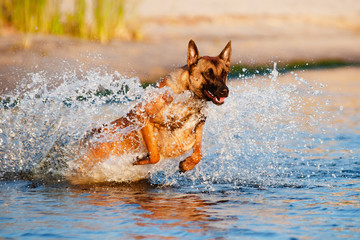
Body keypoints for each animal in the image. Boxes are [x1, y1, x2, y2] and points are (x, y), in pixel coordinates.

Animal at [77, 39, 232, 174]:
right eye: (208, 73)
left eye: (224, 73)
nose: (225, 91)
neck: (187, 96)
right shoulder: (144, 118)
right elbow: (155, 154)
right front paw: (140, 160)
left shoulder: (197, 128)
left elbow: (199, 154)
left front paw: (187, 164)